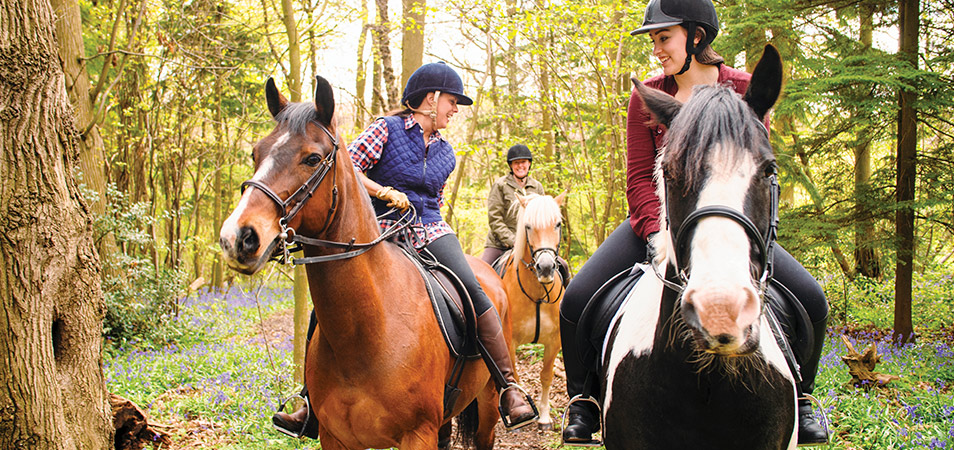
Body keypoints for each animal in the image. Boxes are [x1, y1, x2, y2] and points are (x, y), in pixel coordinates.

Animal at [218, 75, 510, 448]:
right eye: (256, 153)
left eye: (312, 158)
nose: (237, 238)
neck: (368, 331)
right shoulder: (335, 437)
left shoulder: (417, 435)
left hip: (487, 404)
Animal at [498, 192, 564, 430]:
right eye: (527, 226)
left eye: (558, 224)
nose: (545, 268)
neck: (537, 293)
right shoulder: (509, 341)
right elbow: (515, 377)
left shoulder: (554, 340)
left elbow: (546, 376)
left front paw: (544, 417)